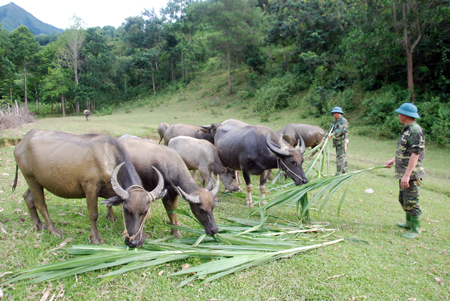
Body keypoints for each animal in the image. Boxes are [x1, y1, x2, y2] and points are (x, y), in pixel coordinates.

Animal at [11, 129, 163, 246]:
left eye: (145, 211)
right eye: (126, 210)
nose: (134, 242)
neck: (108, 157)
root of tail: (21, 142)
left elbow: (110, 204)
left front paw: (111, 217)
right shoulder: (90, 187)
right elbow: (93, 214)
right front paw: (95, 238)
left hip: (37, 181)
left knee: (28, 197)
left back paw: (38, 224)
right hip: (31, 178)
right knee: (41, 205)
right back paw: (53, 230)